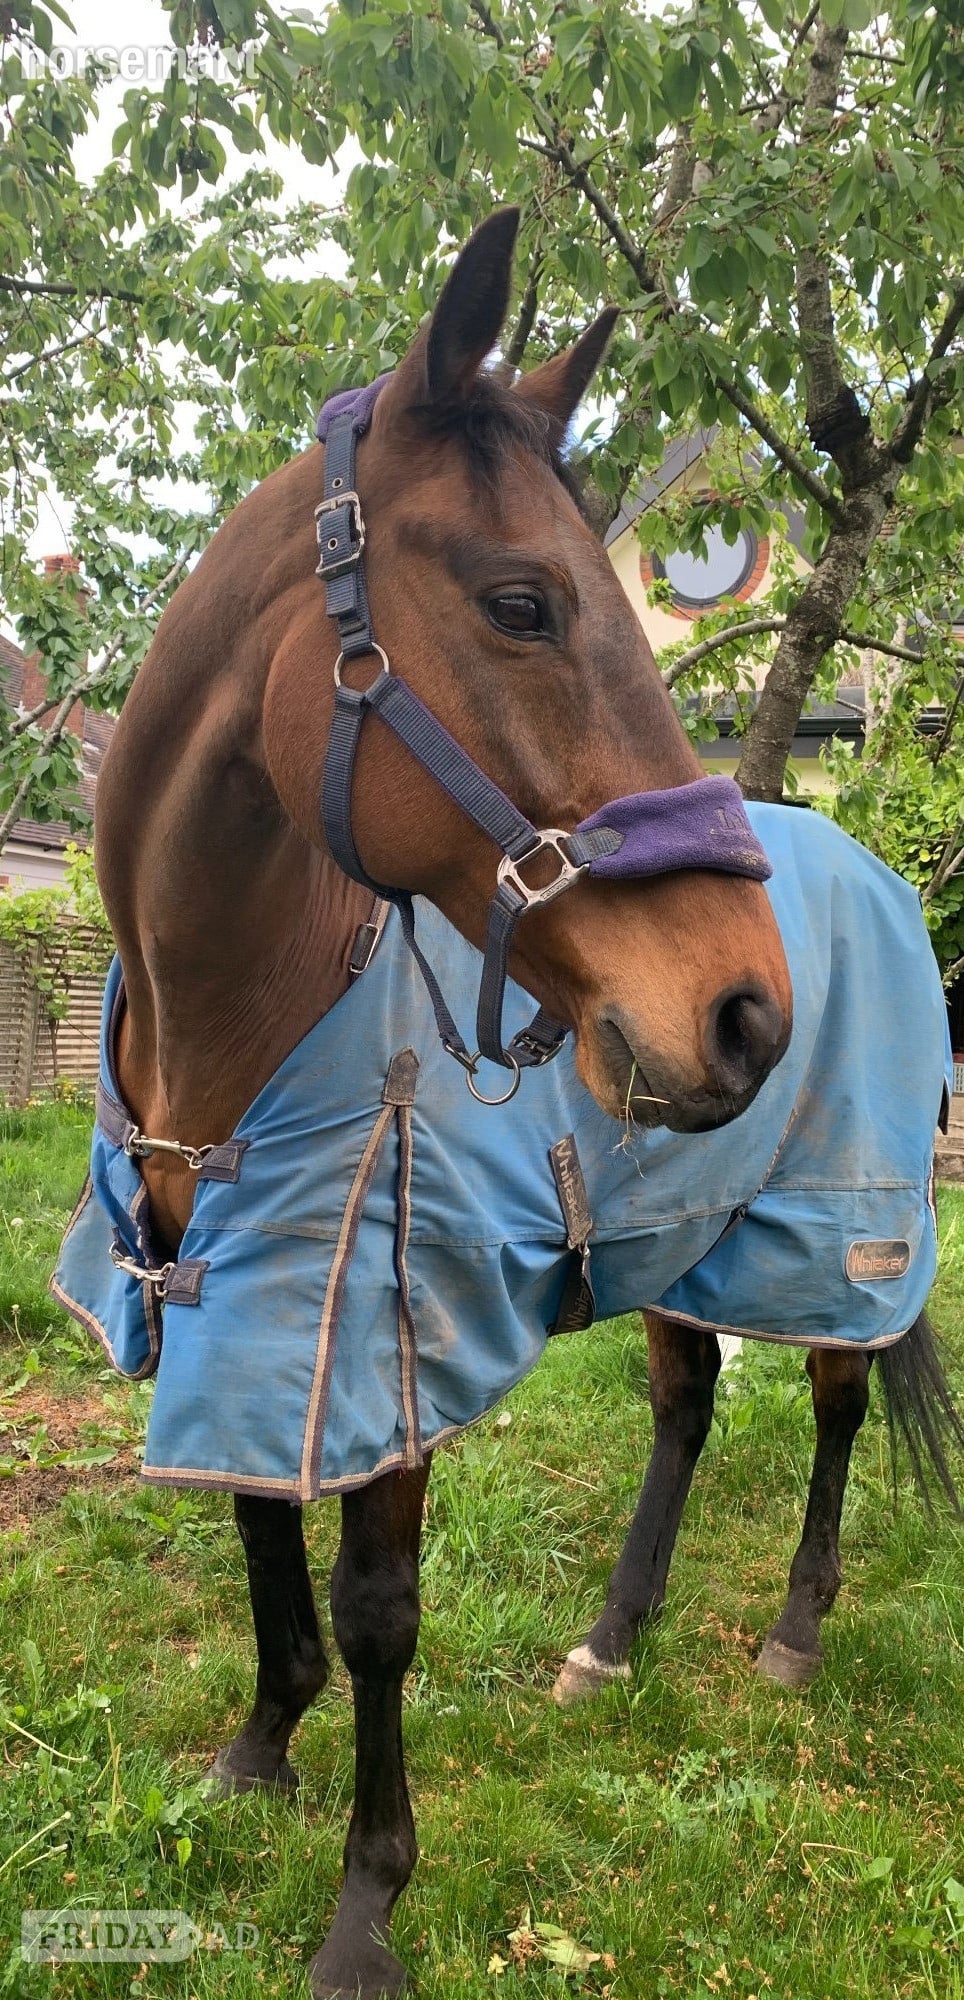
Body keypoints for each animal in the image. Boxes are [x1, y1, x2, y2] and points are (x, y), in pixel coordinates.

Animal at [61, 208, 794, 1999]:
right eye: (522, 602)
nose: (747, 1012)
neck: (236, 1028)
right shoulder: (238, 1311)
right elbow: (258, 1526)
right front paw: (257, 1751)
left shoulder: (382, 1339)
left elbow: (382, 1605)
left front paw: (363, 1909)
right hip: (679, 1235)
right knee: (687, 1399)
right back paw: (613, 1639)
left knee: (839, 1404)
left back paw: (800, 1632)